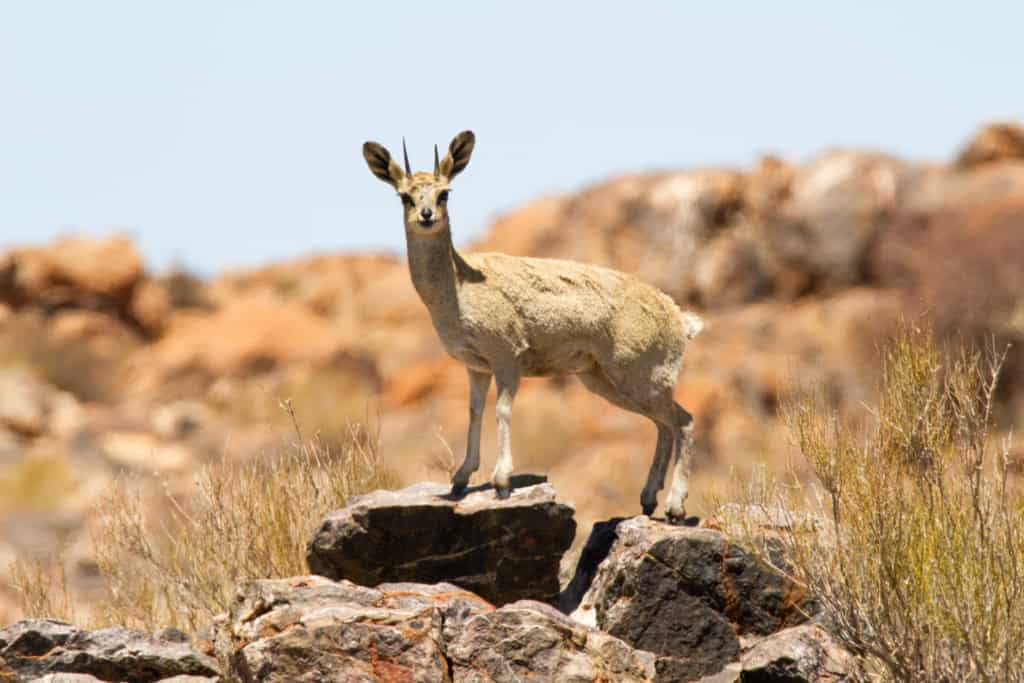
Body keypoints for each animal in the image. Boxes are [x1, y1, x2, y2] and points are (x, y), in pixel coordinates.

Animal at [362, 131, 704, 520]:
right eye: (404, 195)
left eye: (444, 192)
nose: (426, 215)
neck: (457, 287)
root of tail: (679, 317)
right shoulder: (475, 366)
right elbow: (474, 412)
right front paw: (460, 478)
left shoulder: (508, 358)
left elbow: (502, 411)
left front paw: (501, 481)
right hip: (607, 381)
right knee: (665, 425)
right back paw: (648, 499)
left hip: (640, 377)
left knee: (684, 421)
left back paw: (675, 506)